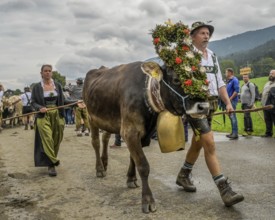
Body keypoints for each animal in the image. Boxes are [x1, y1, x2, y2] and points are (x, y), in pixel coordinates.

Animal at [83, 60, 210, 213]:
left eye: (203, 78)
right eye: (176, 79)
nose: (204, 106)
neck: (145, 92)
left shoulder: (143, 135)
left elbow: (133, 158)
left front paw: (131, 179)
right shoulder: (129, 131)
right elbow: (143, 165)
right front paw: (148, 200)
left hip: (108, 120)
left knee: (105, 138)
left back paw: (104, 162)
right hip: (91, 118)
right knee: (95, 142)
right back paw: (100, 169)